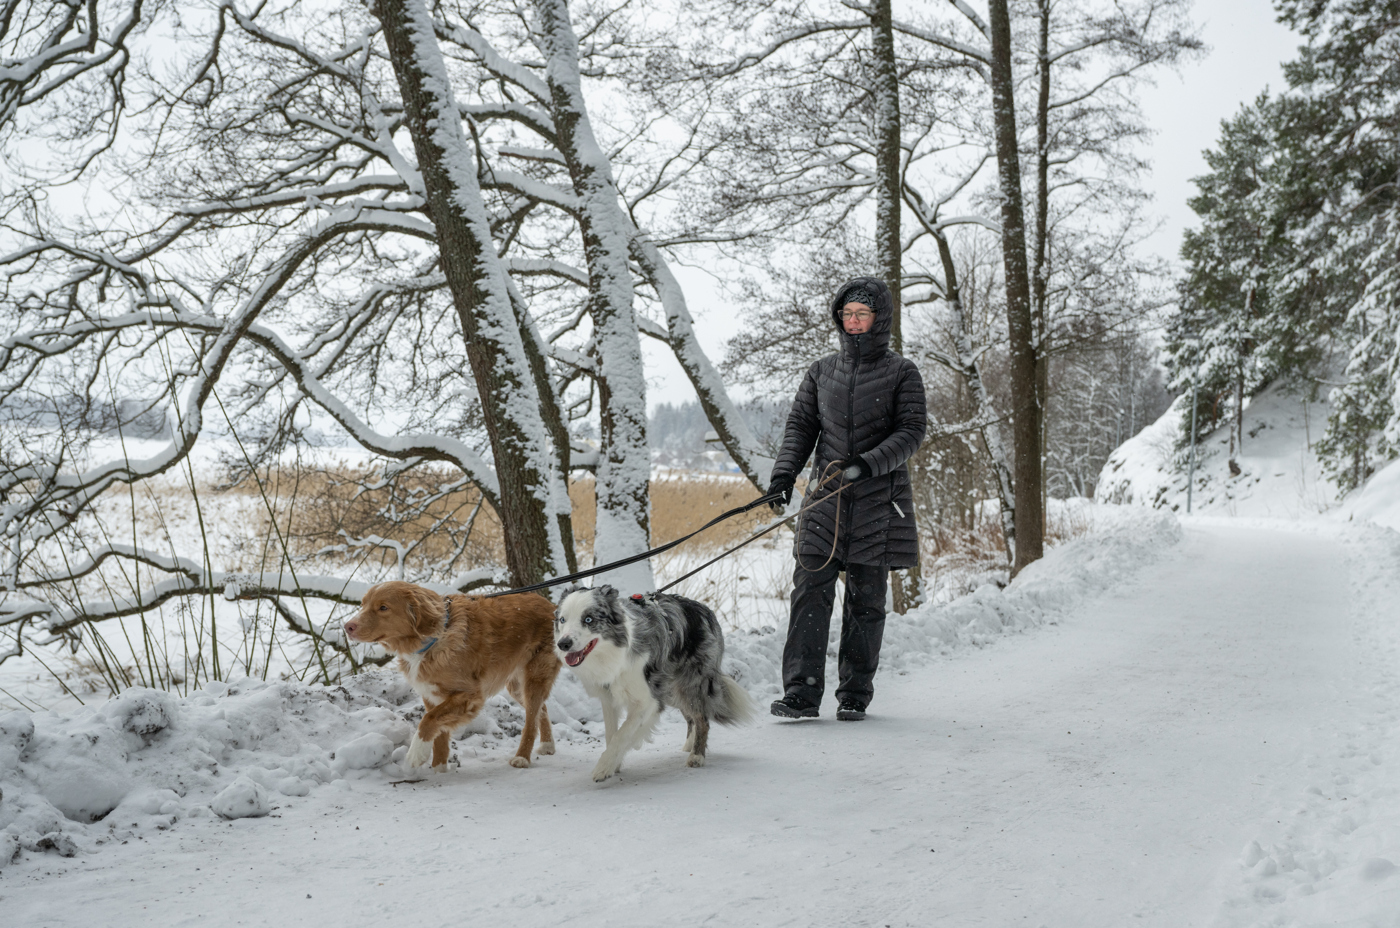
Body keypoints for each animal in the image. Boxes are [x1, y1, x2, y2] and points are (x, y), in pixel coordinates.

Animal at [347, 585, 560, 772]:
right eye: (363, 604)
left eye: (383, 607)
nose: (347, 626)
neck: (432, 640)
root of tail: (551, 606)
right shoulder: (432, 696)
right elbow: (439, 732)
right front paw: (439, 769)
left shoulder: (469, 695)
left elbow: (429, 720)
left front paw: (416, 753)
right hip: (516, 686)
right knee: (541, 709)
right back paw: (547, 745)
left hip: (534, 676)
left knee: (531, 720)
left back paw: (522, 757)